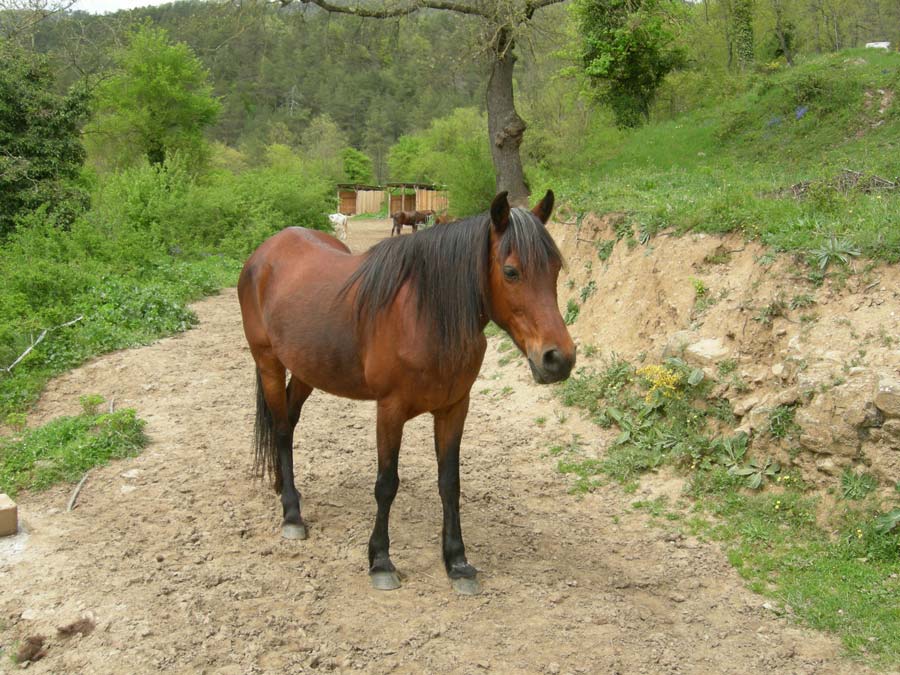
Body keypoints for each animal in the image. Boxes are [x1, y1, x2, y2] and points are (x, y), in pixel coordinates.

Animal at [237, 190, 576, 596]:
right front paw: (380, 561)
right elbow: (386, 484)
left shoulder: (453, 409)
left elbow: (450, 484)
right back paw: (291, 514)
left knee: (286, 422)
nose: (558, 359)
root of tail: (264, 253)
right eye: (511, 272)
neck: (424, 314)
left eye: (555, 270)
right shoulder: (390, 410)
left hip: (307, 369)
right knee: (282, 428)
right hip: (269, 363)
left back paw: (282, 487)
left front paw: (457, 562)